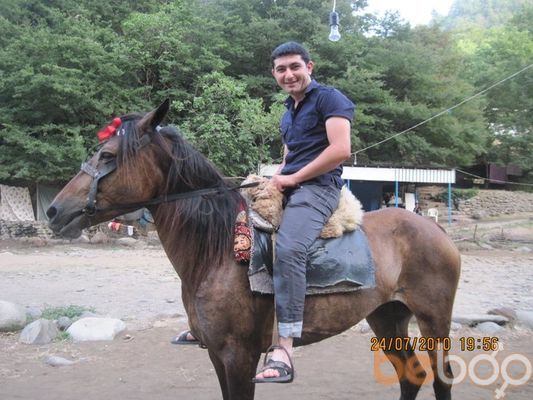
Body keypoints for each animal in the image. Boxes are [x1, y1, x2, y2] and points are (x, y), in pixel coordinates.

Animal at [47, 100, 461, 400]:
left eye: (107, 155)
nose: (54, 210)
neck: (214, 253)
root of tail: (435, 230)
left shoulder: (239, 356)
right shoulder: (216, 354)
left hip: (433, 320)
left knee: (441, 378)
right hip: (386, 316)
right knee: (412, 376)